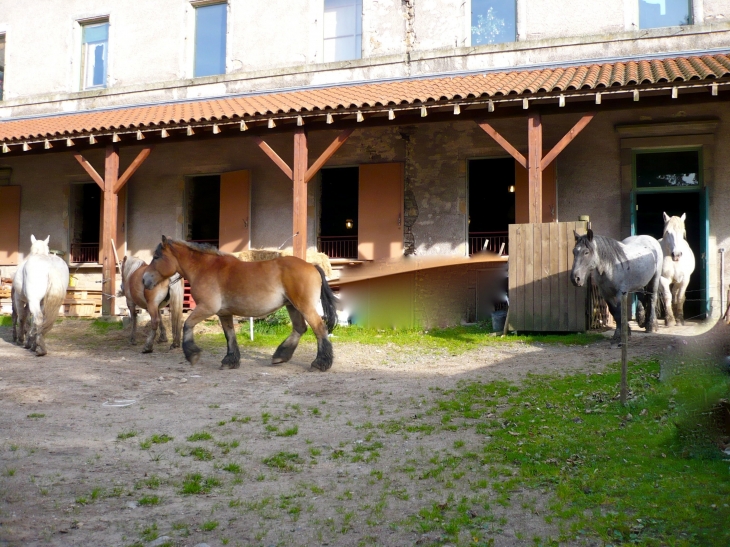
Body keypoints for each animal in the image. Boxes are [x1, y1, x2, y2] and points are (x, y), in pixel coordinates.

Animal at [142, 237, 338, 372]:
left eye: (157, 257)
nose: (144, 280)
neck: (206, 268)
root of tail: (312, 266)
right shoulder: (224, 313)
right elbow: (230, 336)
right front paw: (230, 361)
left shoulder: (207, 308)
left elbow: (188, 325)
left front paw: (192, 354)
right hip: (292, 306)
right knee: (300, 328)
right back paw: (280, 356)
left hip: (304, 306)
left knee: (319, 328)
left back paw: (320, 363)